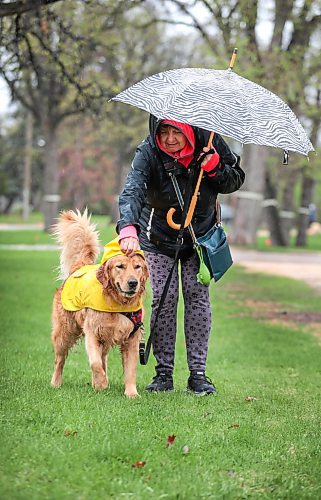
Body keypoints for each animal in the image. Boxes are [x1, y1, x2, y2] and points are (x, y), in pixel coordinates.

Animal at [50, 210, 149, 398]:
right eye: (120, 266)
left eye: (137, 267)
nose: (133, 283)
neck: (118, 303)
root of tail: (78, 268)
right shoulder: (92, 333)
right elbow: (95, 363)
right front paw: (101, 383)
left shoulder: (131, 339)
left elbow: (130, 370)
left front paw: (131, 393)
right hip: (65, 332)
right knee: (60, 359)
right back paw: (56, 383)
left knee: (103, 359)